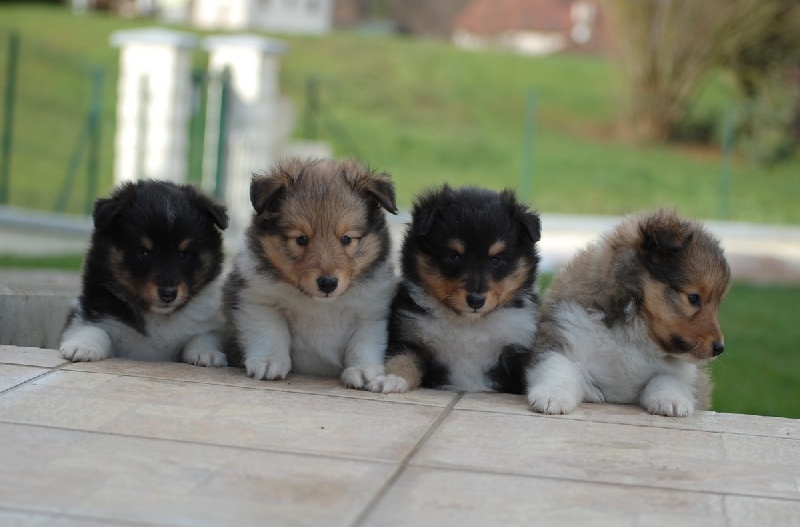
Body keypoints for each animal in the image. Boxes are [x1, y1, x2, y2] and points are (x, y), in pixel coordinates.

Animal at [58, 179, 228, 366]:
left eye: (183, 254)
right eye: (143, 253)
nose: (168, 295)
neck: (159, 317)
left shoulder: (208, 323)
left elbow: (205, 335)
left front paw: (207, 353)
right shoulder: (90, 314)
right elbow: (94, 329)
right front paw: (82, 347)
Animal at [223, 157, 398, 388]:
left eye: (346, 239)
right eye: (301, 239)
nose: (328, 283)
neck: (319, 305)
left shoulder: (370, 312)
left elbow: (363, 343)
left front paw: (363, 370)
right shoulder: (258, 301)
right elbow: (270, 333)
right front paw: (269, 361)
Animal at [368, 188, 544, 394]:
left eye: (496, 259)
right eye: (454, 257)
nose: (476, 300)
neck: (468, 324)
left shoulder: (520, 345)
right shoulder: (411, 340)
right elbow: (402, 360)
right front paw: (390, 379)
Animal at [524, 208, 732, 418]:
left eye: (718, 302)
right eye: (693, 298)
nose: (719, 348)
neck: (633, 335)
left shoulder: (686, 374)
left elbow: (668, 378)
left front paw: (671, 401)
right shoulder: (563, 334)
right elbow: (560, 368)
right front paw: (552, 397)